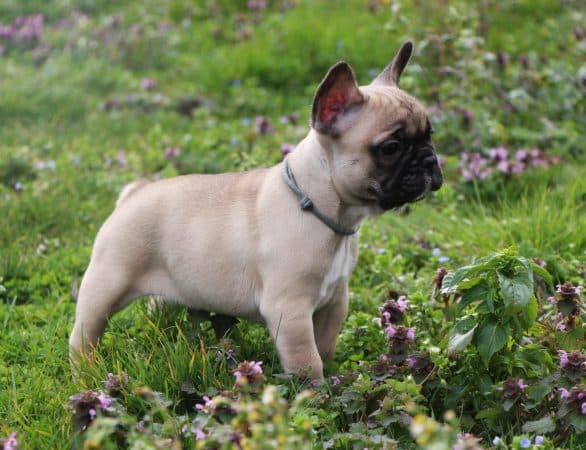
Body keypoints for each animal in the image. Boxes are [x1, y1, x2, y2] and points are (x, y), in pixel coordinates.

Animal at [68, 41, 440, 380]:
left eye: (430, 134)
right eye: (391, 147)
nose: (430, 160)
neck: (319, 205)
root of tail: (134, 193)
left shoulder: (335, 302)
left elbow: (325, 346)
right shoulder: (290, 311)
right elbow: (308, 361)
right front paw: (317, 395)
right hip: (107, 283)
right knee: (85, 333)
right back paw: (85, 371)